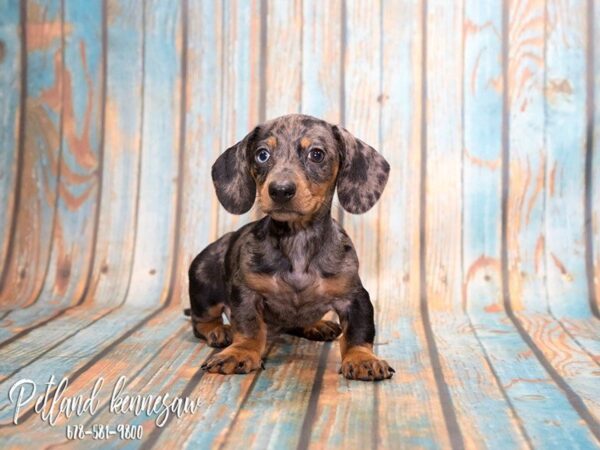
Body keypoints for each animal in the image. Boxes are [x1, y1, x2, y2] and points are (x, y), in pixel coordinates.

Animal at [188, 112, 394, 380]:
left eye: (316, 154)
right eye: (262, 154)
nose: (280, 190)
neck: (297, 239)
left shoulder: (355, 296)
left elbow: (358, 332)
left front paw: (363, 359)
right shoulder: (246, 292)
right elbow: (248, 326)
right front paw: (240, 351)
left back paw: (316, 324)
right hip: (204, 286)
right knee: (200, 321)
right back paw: (220, 330)